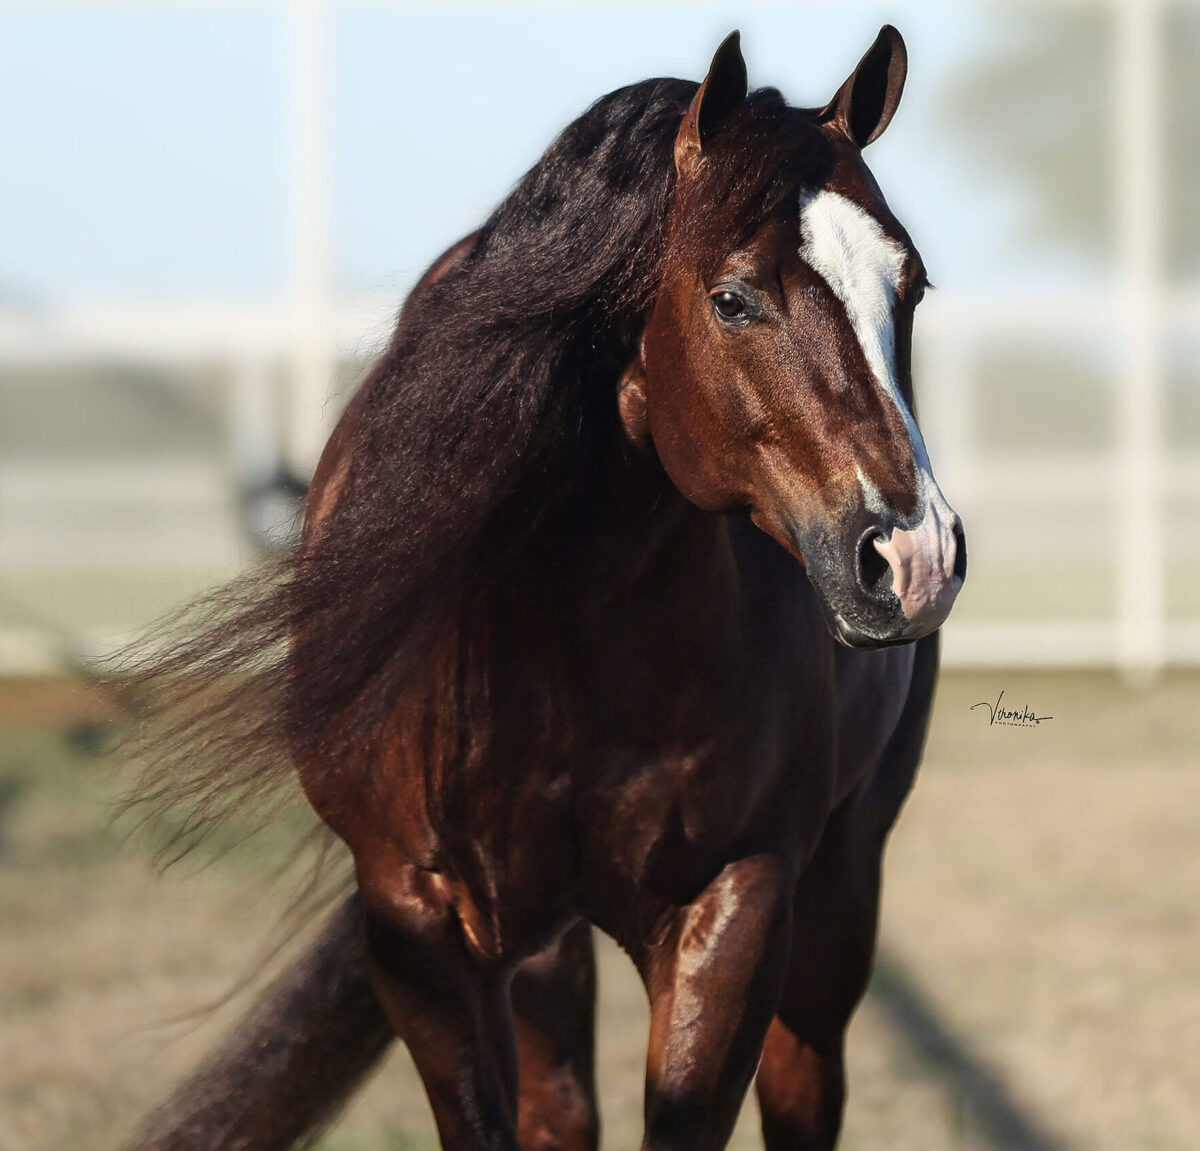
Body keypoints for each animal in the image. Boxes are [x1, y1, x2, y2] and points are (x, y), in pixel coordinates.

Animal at [128, 26, 964, 1151]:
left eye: (907, 288)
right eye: (732, 296)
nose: (915, 557)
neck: (566, 627)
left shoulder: (738, 903)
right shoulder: (421, 924)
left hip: (838, 889)